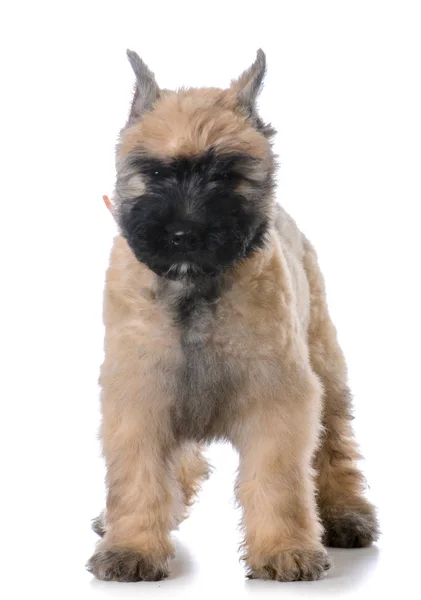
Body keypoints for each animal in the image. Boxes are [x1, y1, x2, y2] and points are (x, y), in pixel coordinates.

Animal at [86, 49, 378, 584]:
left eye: (225, 176)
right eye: (154, 174)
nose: (183, 234)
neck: (195, 290)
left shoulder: (277, 399)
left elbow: (279, 481)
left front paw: (285, 548)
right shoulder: (140, 395)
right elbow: (138, 476)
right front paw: (132, 546)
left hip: (327, 375)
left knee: (335, 450)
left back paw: (346, 514)